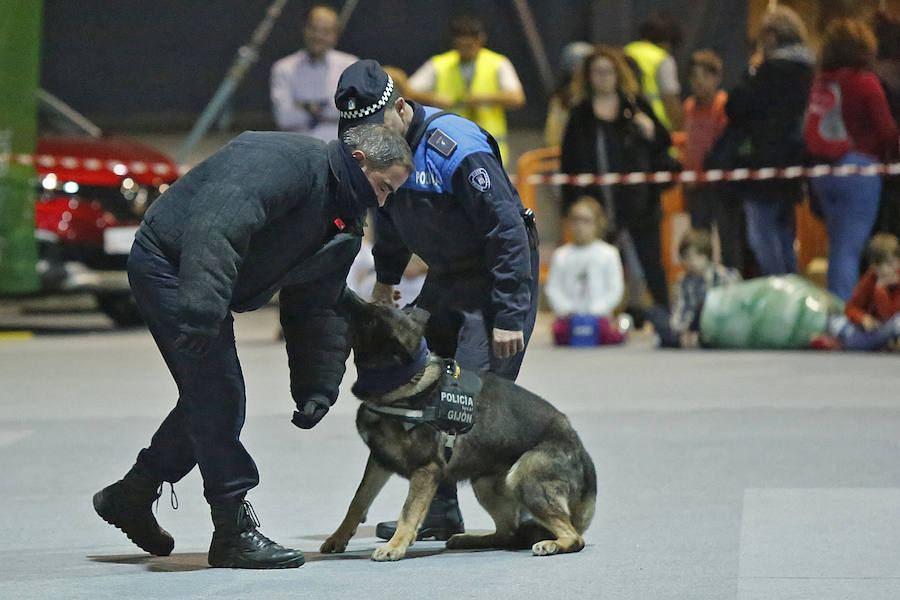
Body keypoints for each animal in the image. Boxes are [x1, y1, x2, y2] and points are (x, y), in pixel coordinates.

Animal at [320, 296, 596, 564]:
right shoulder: (379, 461)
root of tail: (582, 453)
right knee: (507, 533)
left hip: (523, 476)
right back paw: (470, 539)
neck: (403, 382)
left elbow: (408, 511)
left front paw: (395, 546)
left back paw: (553, 544)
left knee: (574, 537)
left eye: (370, 318)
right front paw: (338, 537)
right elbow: (358, 501)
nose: (344, 294)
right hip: (485, 484)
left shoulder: (427, 469)